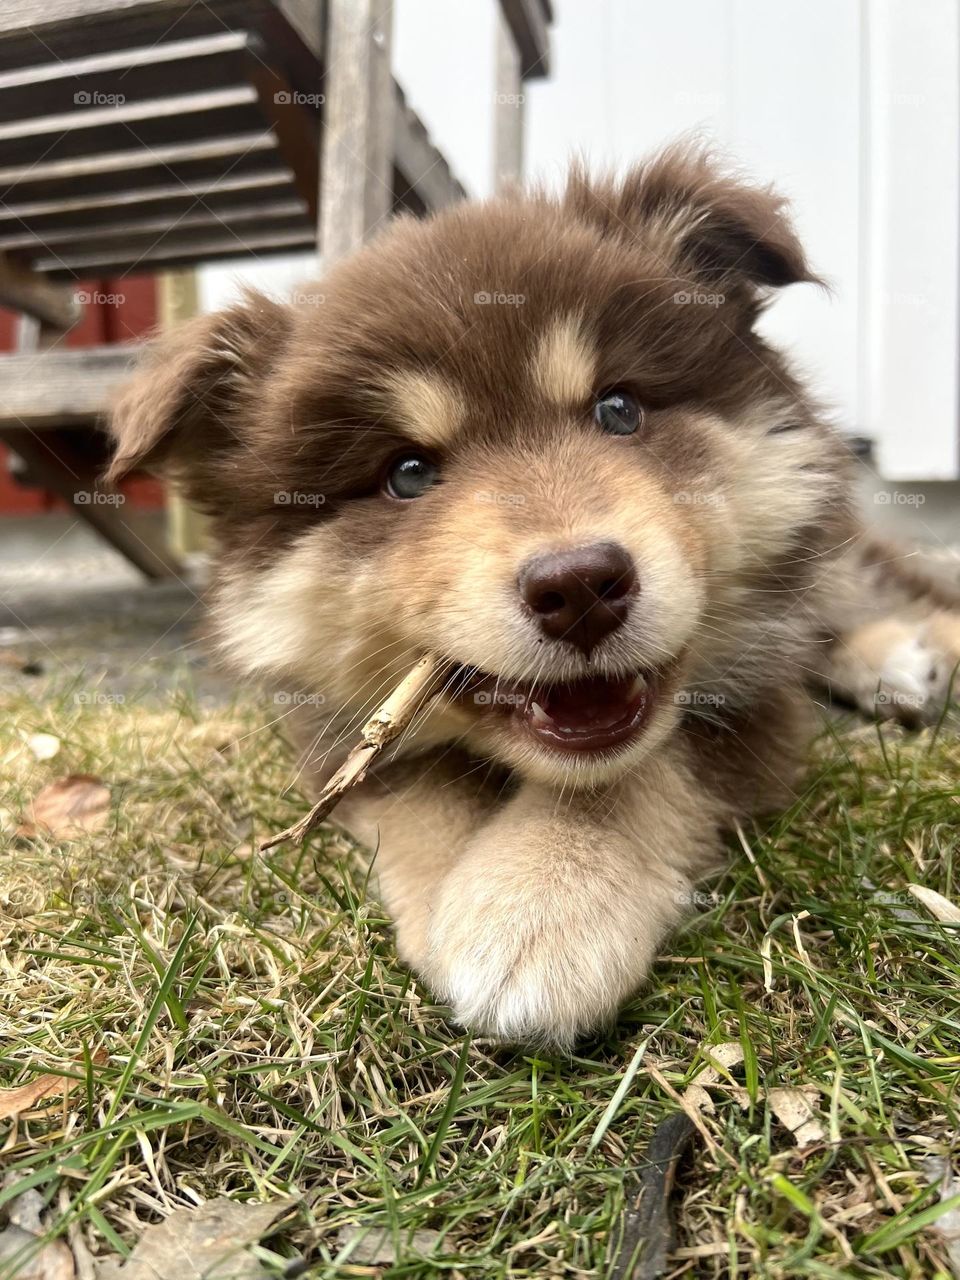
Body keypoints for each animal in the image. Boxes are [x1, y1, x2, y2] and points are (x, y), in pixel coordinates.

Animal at [108, 147, 960, 1049]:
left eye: (618, 408)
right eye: (407, 473)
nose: (580, 585)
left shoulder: (752, 705)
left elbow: (640, 773)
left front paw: (540, 906)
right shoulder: (336, 737)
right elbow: (423, 785)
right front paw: (470, 897)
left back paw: (900, 658)